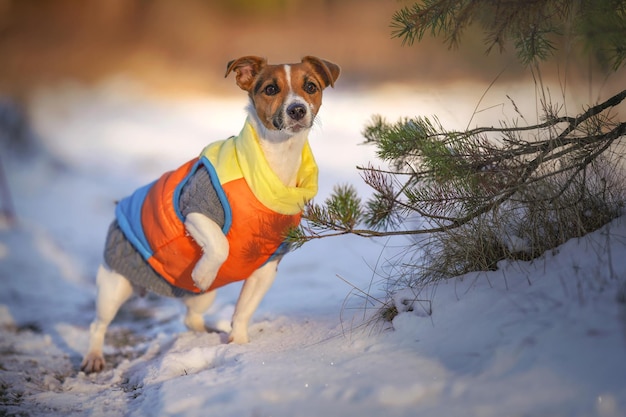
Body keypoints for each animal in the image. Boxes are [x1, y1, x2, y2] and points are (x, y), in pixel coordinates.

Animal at [81, 56, 342, 374]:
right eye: (270, 88)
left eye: (310, 86)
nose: (297, 109)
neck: (275, 163)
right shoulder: (194, 209)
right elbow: (220, 243)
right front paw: (204, 273)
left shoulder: (267, 265)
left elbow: (243, 310)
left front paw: (238, 345)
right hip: (113, 285)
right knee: (98, 324)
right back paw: (93, 356)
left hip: (203, 299)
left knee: (189, 318)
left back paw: (207, 332)